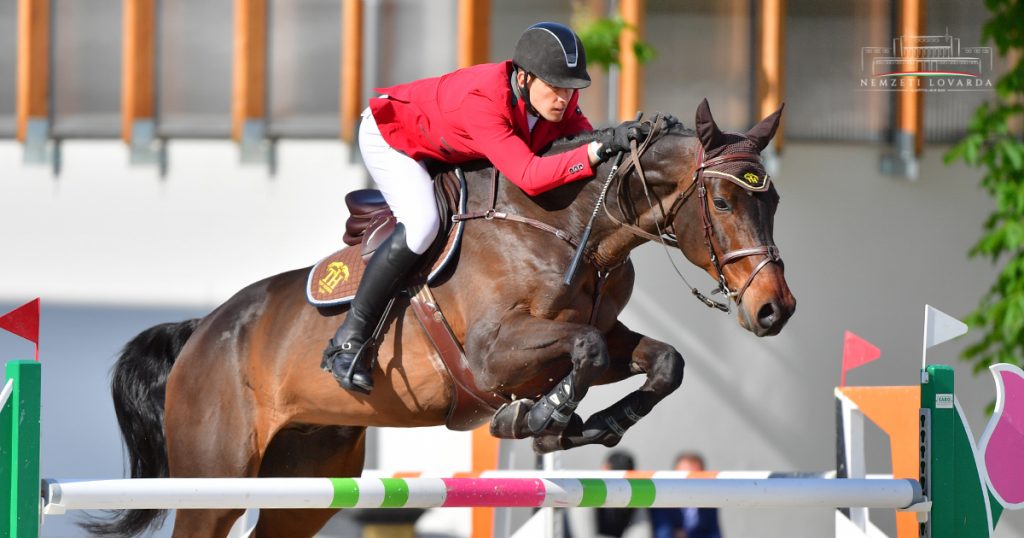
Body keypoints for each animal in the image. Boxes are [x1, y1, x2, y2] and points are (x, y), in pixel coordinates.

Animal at [83, 98, 794, 532]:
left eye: (775, 200)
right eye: (724, 202)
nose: (775, 310)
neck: (571, 229)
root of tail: (201, 332)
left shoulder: (607, 331)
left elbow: (663, 361)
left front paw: (596, 424)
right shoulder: (492, 352)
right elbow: (585, 351)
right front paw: (537, 420)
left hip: (304, 482)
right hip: (215, 482)